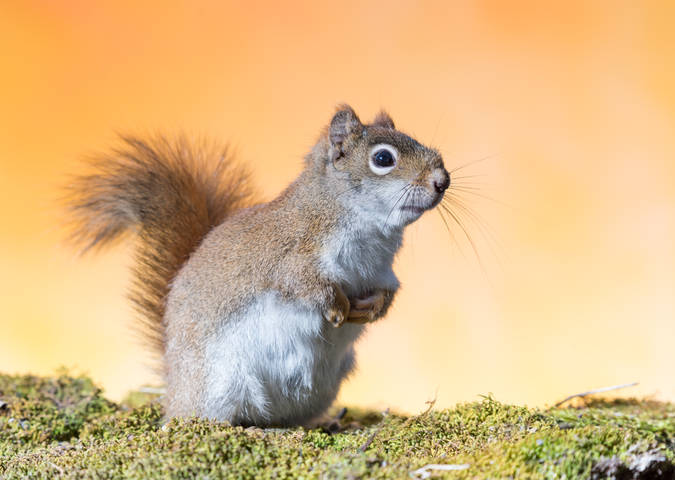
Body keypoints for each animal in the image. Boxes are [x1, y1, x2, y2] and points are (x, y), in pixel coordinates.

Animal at [66, 105, 450, 427]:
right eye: (383, 158)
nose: (442, 181)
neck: (366, 229)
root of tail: (174, 388)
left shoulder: (382, 273)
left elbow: (386, 294)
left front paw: (370, 308)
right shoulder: (289, 258)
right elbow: (307, 286)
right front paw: (338, 306)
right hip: (220, 383)